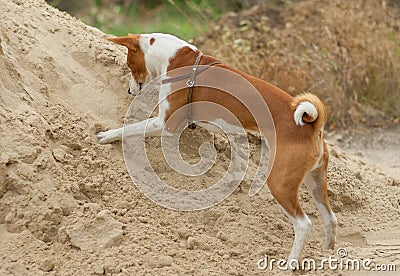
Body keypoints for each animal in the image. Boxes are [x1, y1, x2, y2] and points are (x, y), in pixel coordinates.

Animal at [97, 33, 338, 262]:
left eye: (129, 64)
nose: (129, 91)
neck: (176, 58)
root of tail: (313, 127)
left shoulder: (165, 124)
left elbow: (129, 128)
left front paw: (108, 135)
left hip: (280, 183)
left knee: (303, 224)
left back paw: (291, 262)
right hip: (315, 182)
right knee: (330, 219)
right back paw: (326, 254)